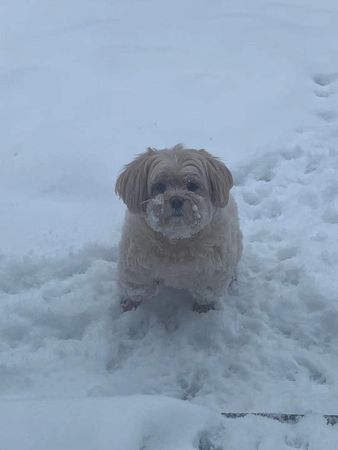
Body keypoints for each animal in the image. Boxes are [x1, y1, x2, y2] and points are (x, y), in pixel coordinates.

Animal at [116, 145, 243, 312]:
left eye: (192, 185)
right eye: (160, 187)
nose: (176, 200)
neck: (177, 240)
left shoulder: (212, 272)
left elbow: (206, 292)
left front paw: (204, 307)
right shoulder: (137, 266)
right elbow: (136, 287)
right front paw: (130, 303)